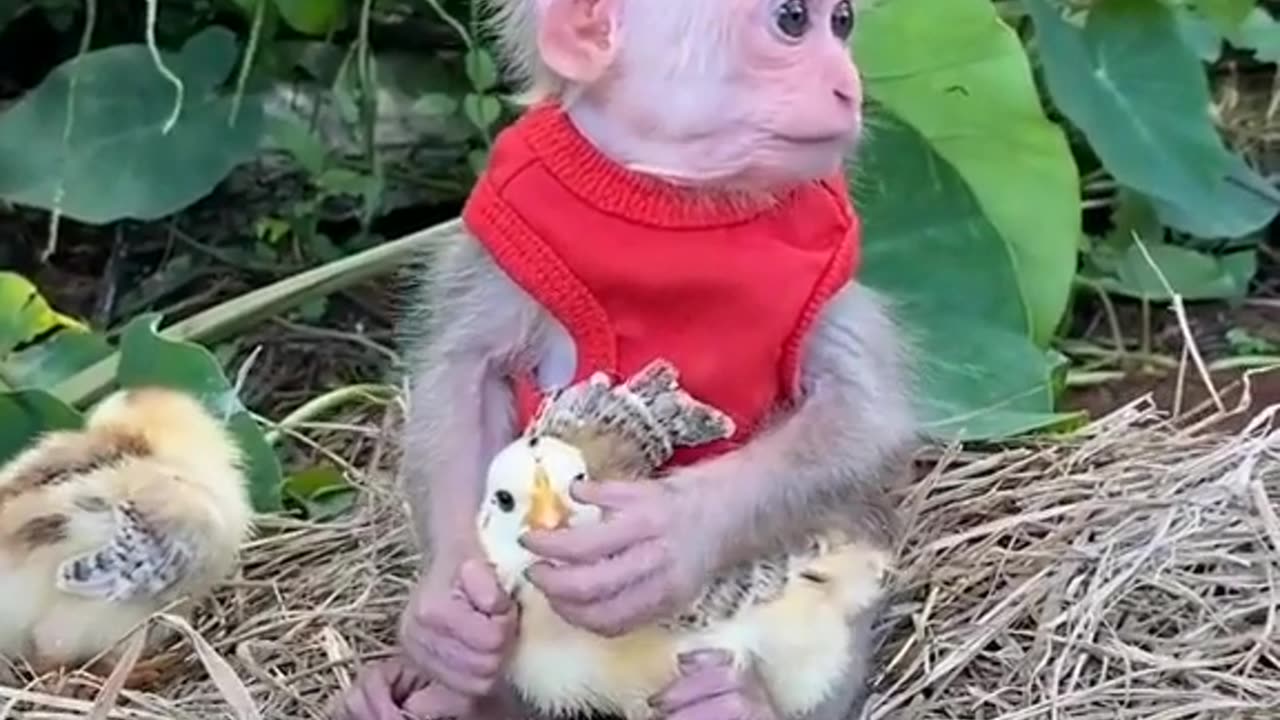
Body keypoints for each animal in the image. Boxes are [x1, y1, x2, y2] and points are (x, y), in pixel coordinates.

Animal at [336, 0, 917, 719]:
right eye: (792, 20)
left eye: (841, 22)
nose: (848, 86)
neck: (665, 193)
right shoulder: (504, 242)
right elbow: (464, 371)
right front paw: (448, 610)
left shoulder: (824, 270)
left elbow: (866, 411)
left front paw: (666, 538)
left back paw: (735, 700)